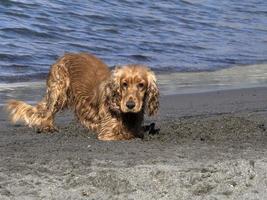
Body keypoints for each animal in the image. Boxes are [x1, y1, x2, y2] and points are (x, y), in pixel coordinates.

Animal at [6, 53, 160, 141]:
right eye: (124, 84)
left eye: (141, 85)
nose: (130, 105)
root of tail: (64, 56)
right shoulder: (107, 132)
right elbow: (127, 134)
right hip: (58, 90)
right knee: (48, 113)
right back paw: (48, 127)